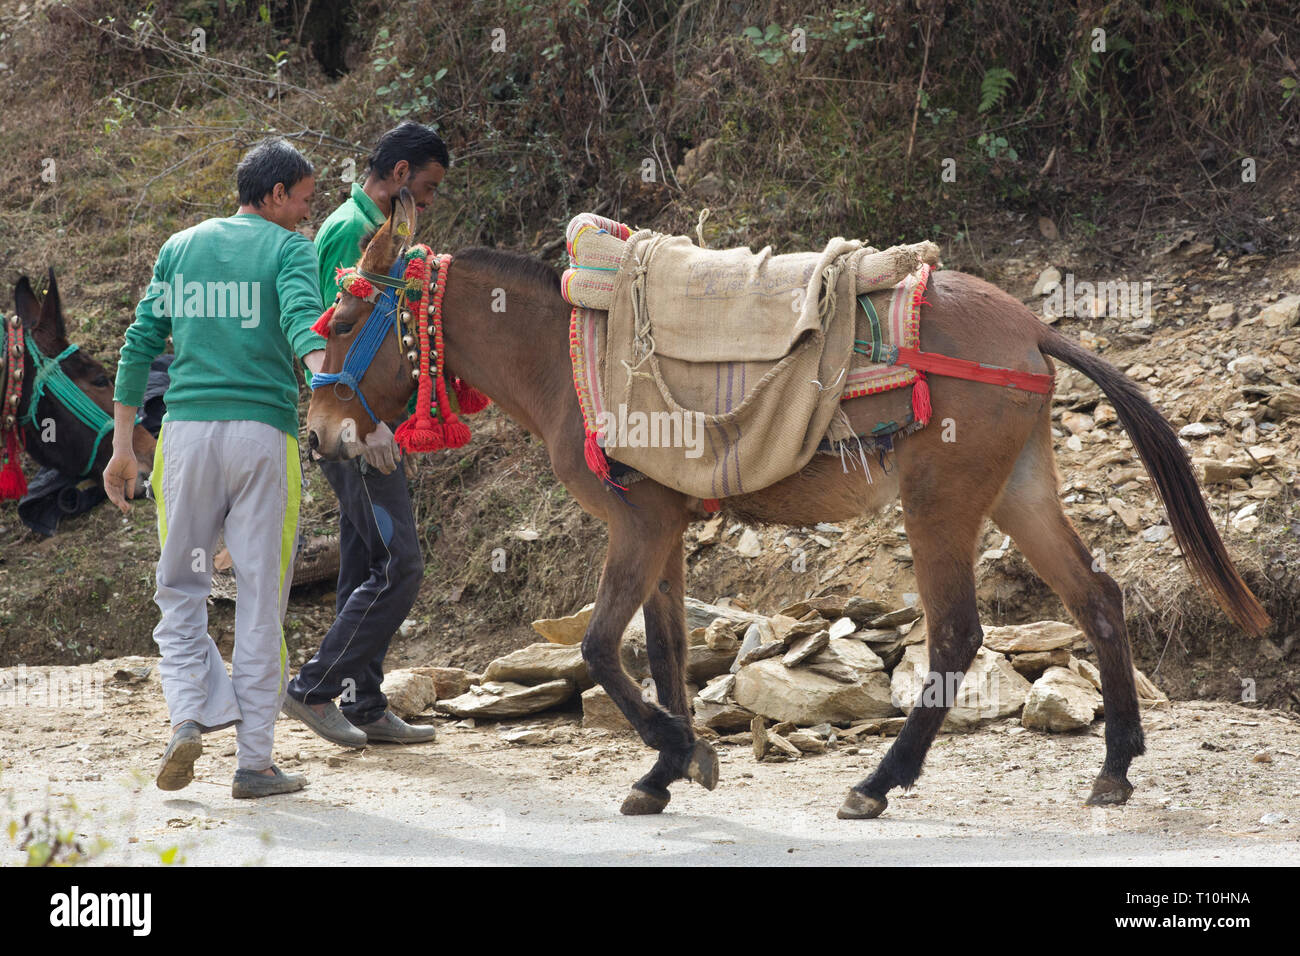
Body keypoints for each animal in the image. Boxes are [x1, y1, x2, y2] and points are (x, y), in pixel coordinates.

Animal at [306, 193, 1270, 819]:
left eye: (341, 321)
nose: (318, 433)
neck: (565, 349)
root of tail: (1030, 326)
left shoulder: (637, 521)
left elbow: (600, 646)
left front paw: (671, 750)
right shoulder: (665, 525)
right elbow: (663, 646)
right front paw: (673, 765)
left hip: (941, 503)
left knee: (958, 633)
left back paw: (880, 782)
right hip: (1017, 490)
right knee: (1096, 599)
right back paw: (1116, 766)